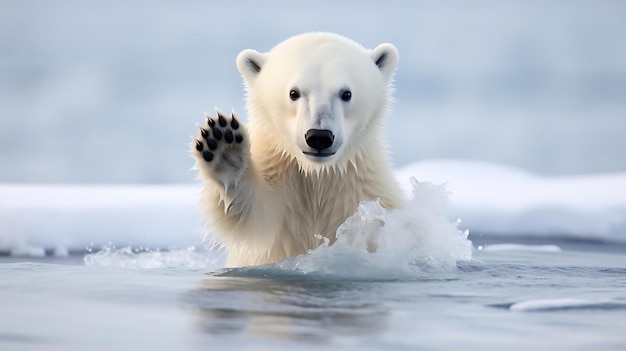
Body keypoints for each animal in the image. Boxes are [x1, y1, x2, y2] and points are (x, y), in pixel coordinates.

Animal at [191, 33, 404, 270]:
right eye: (294, 93)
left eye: (346, 93)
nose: (319, 136)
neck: (316, 174)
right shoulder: (283, 181)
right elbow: (254, 220)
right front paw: (223, 147)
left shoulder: (363, 187)